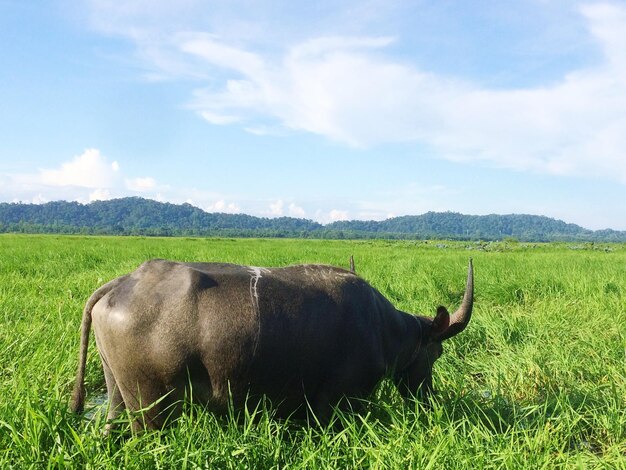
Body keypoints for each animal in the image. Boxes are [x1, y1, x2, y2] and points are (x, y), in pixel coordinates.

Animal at [69, 258, 468, 430]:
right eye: (437, 353)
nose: (429, 397)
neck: (383, 330)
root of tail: (125, 281)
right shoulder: (336, 404)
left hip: (117, 392)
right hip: (151, 403)